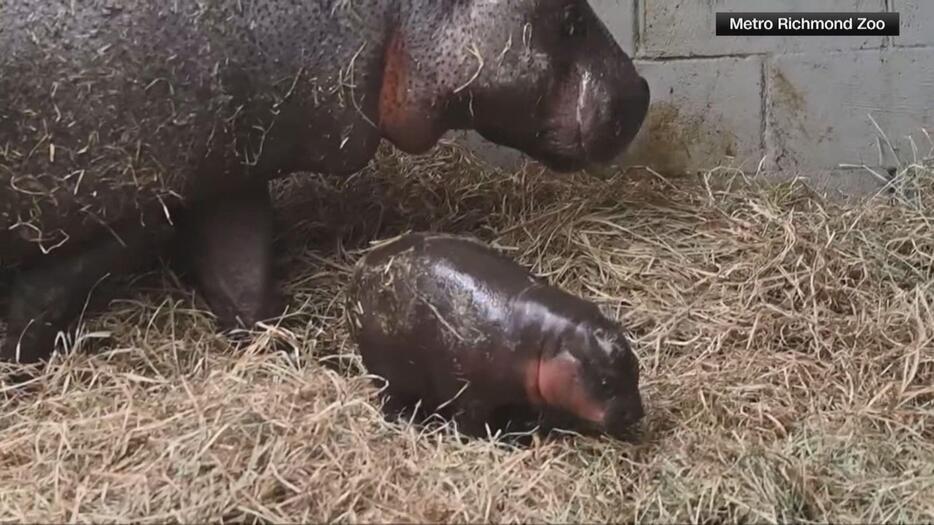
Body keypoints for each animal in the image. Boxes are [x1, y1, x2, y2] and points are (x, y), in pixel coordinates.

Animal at [344, 231, 644, 440]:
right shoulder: (473, 397)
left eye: (636, 367)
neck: (546, 342)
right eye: (605, 382)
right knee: (391, 401)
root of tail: (362, 264)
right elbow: (471, 423)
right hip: (386, 374)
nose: (638, 414)